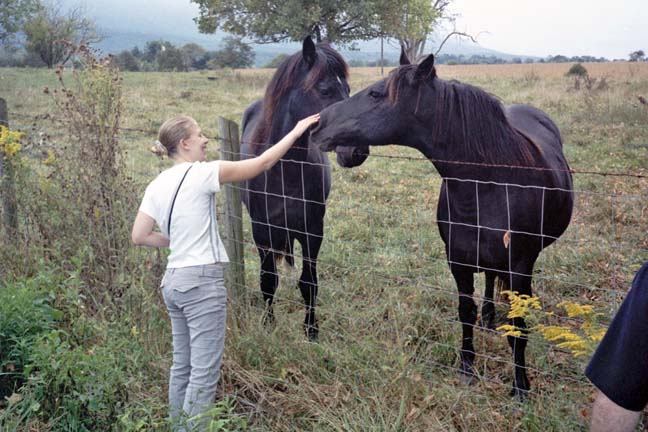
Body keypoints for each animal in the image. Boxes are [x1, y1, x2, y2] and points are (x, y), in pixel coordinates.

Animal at [240, 37, 364, 340]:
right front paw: (268, 324)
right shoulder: (262, 230)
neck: (284, 171)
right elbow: (268, 280)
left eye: (348, 90)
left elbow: (309, 282)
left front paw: (311, 330)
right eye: (325, 89)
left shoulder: (312, 229)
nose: (357, 150)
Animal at [308, 51, 572, 394]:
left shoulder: (520, 266)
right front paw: (466, 367)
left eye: (376, 94)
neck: (489, 186)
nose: (317, 125)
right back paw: (489, 317)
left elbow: (518, 327)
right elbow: (466, 312)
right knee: (489, 279)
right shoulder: (457, 261)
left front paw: (520, 386)